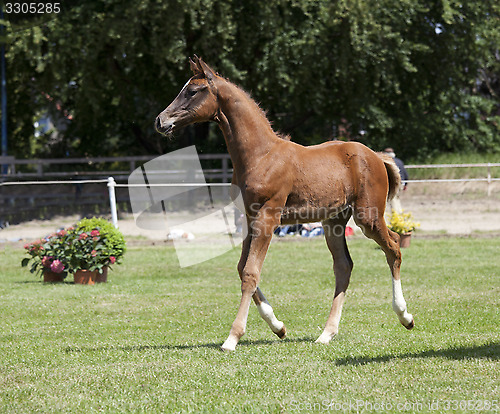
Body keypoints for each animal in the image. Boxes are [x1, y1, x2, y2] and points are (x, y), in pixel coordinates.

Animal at [156, 56, 414, 350]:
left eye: (192, 91)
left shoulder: (268, 217)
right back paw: (327, 333)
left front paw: (233, 337)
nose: (160, 121)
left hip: (367, 216)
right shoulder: (249, 219)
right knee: (343, 266)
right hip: (334, 221)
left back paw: (405, 316)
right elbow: (242, 268)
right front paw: (278, 326)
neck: (261, 155)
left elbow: (250, 273)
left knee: (394, 246)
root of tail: (376, 156)